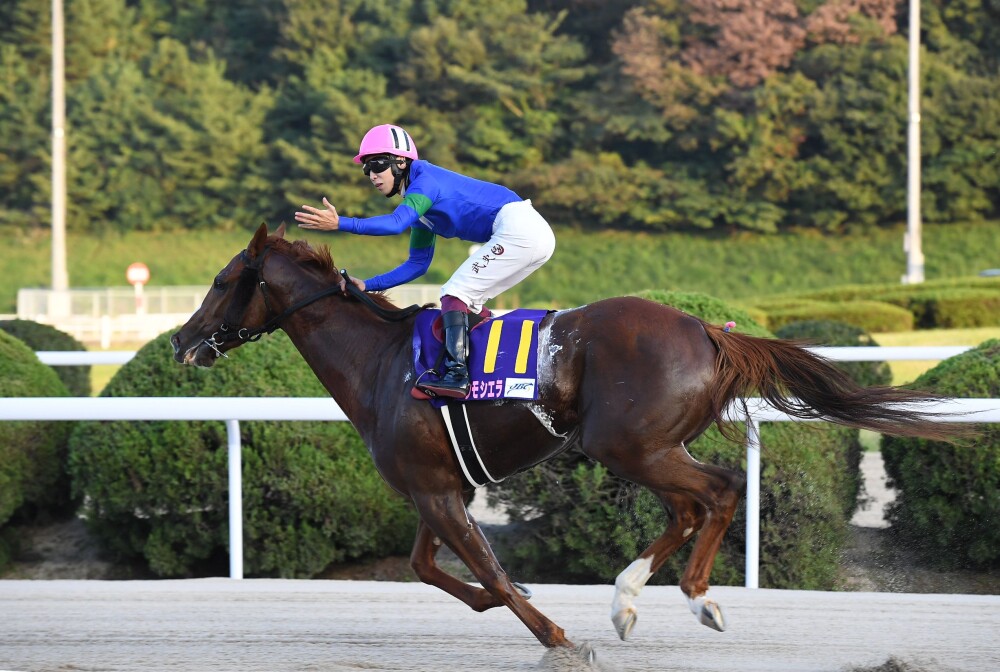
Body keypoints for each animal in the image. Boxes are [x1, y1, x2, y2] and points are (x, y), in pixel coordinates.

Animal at [172, 223, 960, 652]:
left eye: (221, 279)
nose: (181, 341)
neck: (383, 364)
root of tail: (708, 330)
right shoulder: (437, 488)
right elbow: (430, 568)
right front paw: (514, 603)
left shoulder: (436, 491)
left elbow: (484, 571)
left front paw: (554, 635)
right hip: (646, 446)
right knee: (690, 507)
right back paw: (631, 598)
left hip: (628, 444)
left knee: (720, 489)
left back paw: (693, 596)